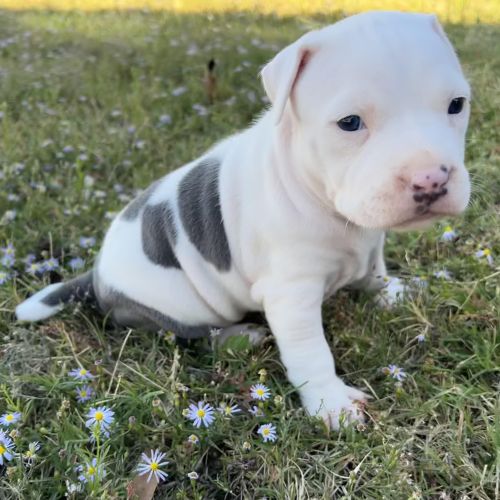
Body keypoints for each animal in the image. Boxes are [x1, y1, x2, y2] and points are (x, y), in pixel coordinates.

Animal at [14, 9, 468, 428]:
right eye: (350, 123)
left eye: (457, 105)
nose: (431, 178)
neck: (319, 197)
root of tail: (96, 276)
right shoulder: (290, 295)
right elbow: (311, 351)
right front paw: (332, 404)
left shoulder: (370, 244)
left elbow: (374, 270)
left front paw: (389, 291)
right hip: (183, 305)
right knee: (196, 337)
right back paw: (239, 337)